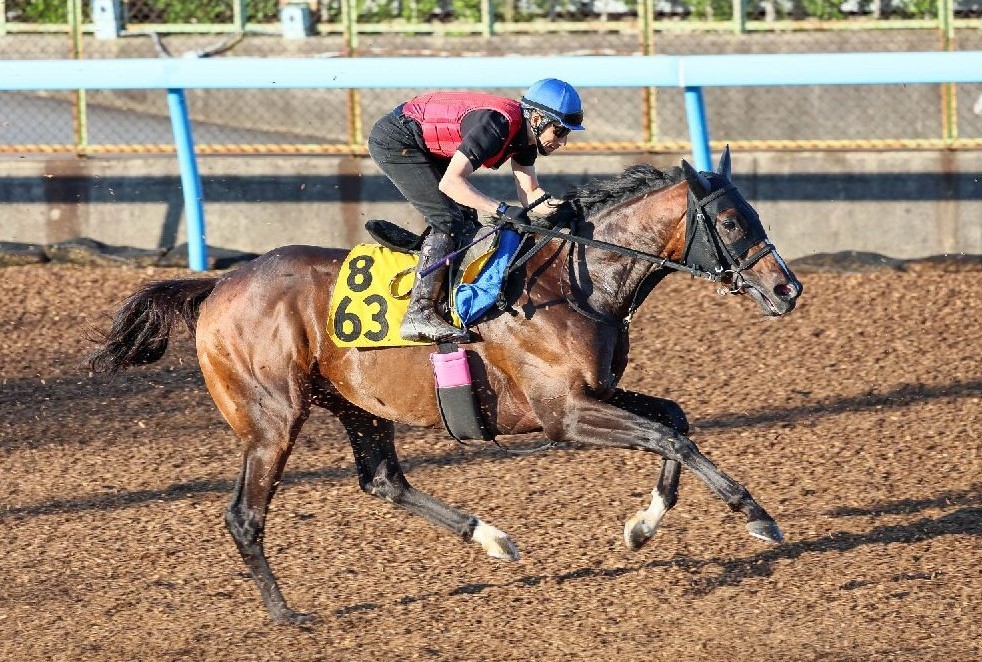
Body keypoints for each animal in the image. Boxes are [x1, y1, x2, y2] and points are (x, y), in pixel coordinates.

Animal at [88, 148, 804, 624]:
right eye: (733, 223)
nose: (788, 289)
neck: (573, 280)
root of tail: (220, 284)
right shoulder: (564, 415)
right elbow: (669, 438)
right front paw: (755, 516)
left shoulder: (594, 394)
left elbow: (674, 421)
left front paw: (642, 527)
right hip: (272, 419)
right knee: (245, 515)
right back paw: (286, 614)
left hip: (356, 404)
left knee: (383, 480)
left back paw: (491, 537)